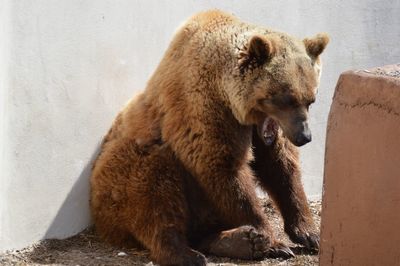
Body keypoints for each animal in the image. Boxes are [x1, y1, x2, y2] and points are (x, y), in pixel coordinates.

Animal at [90, 9, 328, 266]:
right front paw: (273, 240)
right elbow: (222, 166)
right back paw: (188, 253)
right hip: (121, 173)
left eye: (310, 100)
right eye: (286, 99)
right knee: (155, 191)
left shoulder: (265, 131)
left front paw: (309, 233)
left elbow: (280, 168)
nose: (305, 136)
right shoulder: (204, 106)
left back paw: (240, 241)